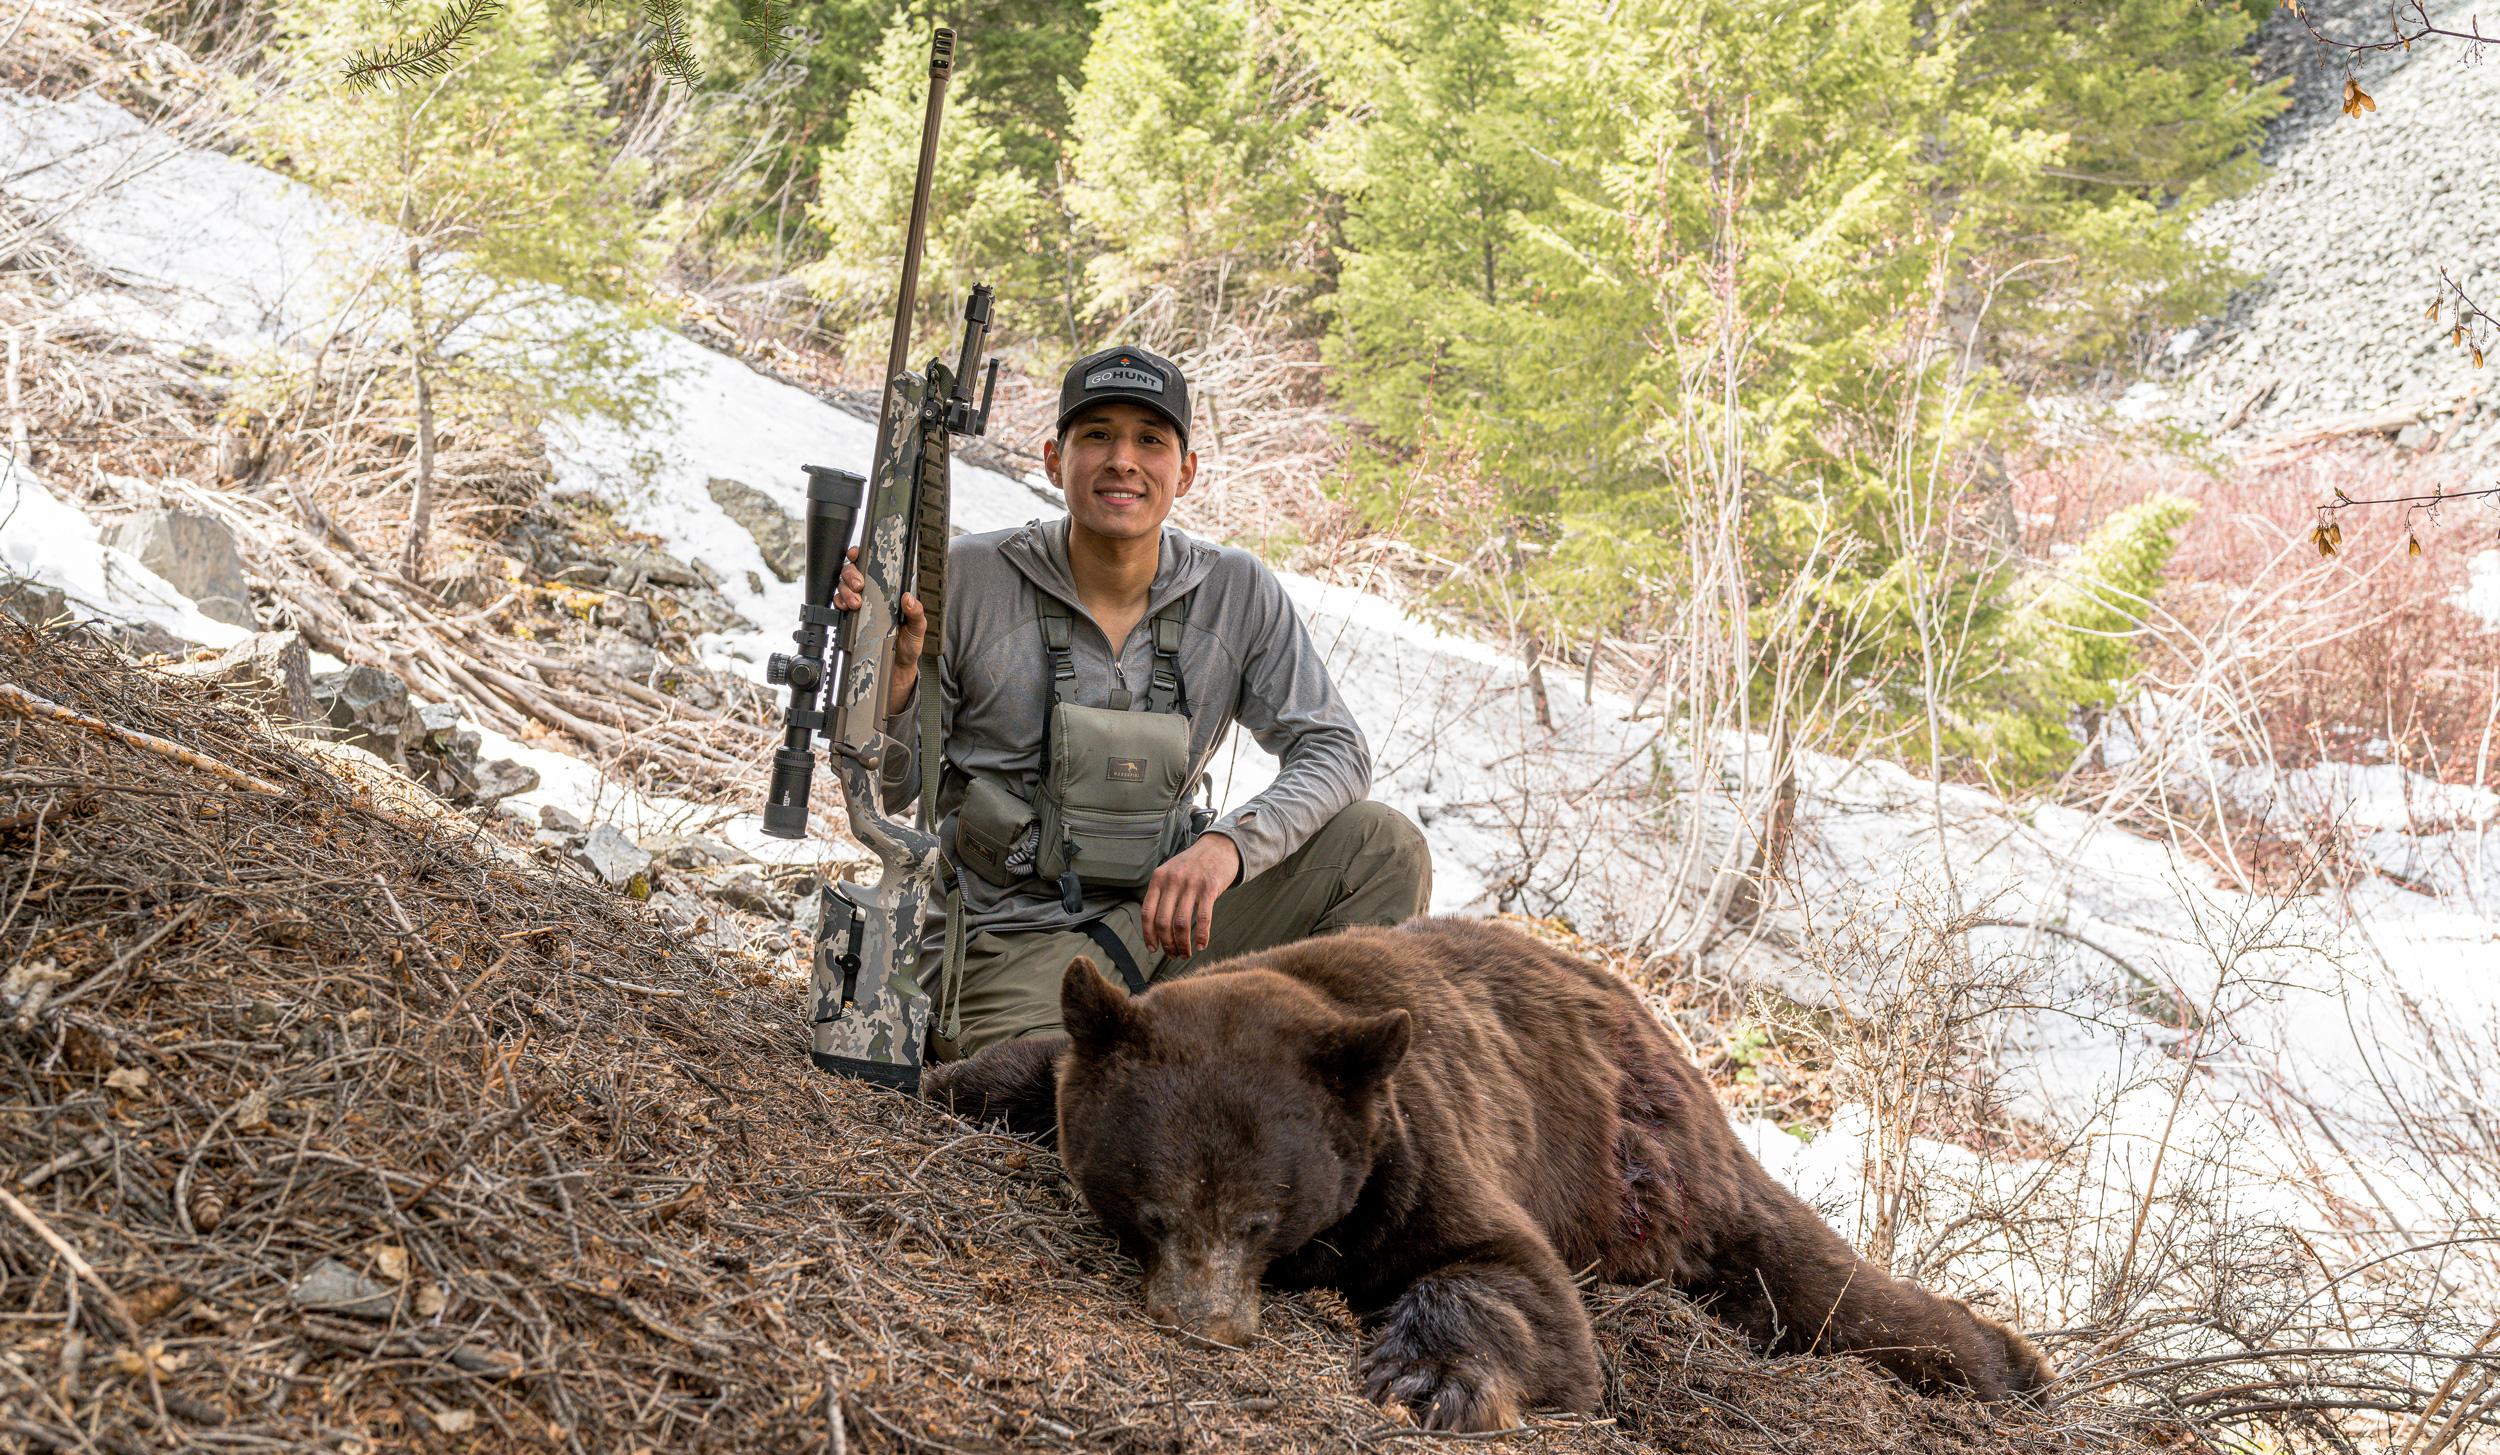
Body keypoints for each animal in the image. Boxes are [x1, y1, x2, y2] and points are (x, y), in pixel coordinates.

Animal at [922, 916, 2052, 1432]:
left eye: (1259, 1217)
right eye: (1152, 1209)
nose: (1206, 1323)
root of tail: (1664, 1031)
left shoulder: (1416, 1145)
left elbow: (1514, 1282)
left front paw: (1428, 1377)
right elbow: (1019, 1069)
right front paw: (948, 1078)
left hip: (1646, 1170)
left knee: (1817, 1282)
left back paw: (2012, 1363)